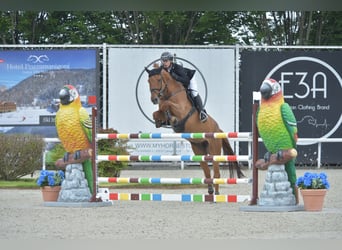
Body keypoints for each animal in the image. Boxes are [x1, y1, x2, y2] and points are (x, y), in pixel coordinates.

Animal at [144, 65, 246, 194]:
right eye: (148, 81)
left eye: (158, 79)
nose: (154, 99)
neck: (170, 93)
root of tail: (218, 130)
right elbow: (157, 112)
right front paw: (161, 121)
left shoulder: (181, 110)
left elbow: (167, 104)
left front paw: (173, 119)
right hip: (198, 149)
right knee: (207, 171)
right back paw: (210, 191)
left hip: (214, 149)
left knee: (216, 172)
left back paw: (216, 193)